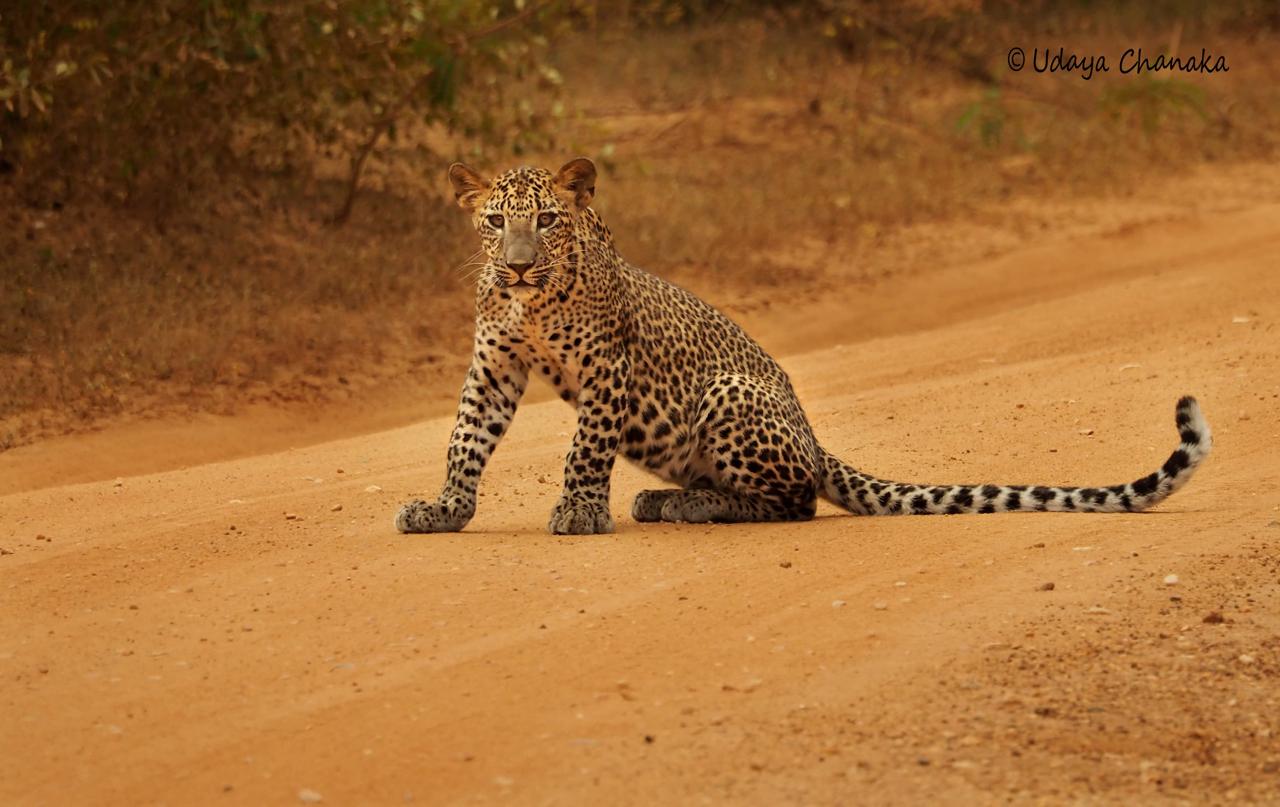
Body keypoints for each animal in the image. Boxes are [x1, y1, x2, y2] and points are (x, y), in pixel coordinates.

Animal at [395, 157, 1212, 535]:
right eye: (495, 222)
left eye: (547, 220)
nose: (517, 265)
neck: (531, 302)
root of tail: (816, 439)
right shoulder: (493, 366)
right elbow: (464, 439)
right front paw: (445, 508)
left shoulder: (606, 366)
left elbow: (585, 447)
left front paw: (579, 510)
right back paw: (669, 497)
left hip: (729, 396)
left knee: (794, 501)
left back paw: (690, 504)